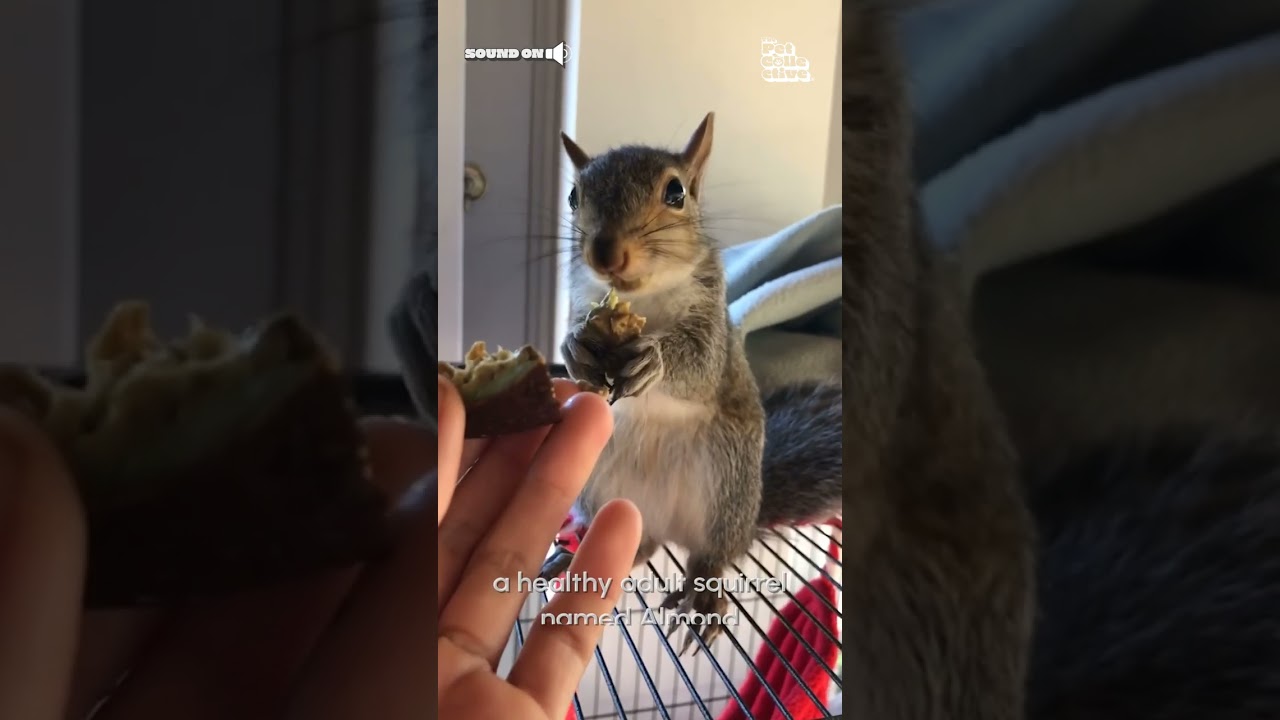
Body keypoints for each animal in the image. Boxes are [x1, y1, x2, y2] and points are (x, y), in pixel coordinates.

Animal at [547, 112, 842, 654]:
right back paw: (578, 555)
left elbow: (700, 362)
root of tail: (660, 519)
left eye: (676, 192)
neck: (643, 300)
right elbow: (576, 331)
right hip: (599, 486)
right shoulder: (582, 298)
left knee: (710, 556)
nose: (605, 253)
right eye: (574, 196)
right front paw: (574, 346)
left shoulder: (712, 324)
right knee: (635, 545)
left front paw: (655, 360)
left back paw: (702, 596)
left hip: (725, 482)